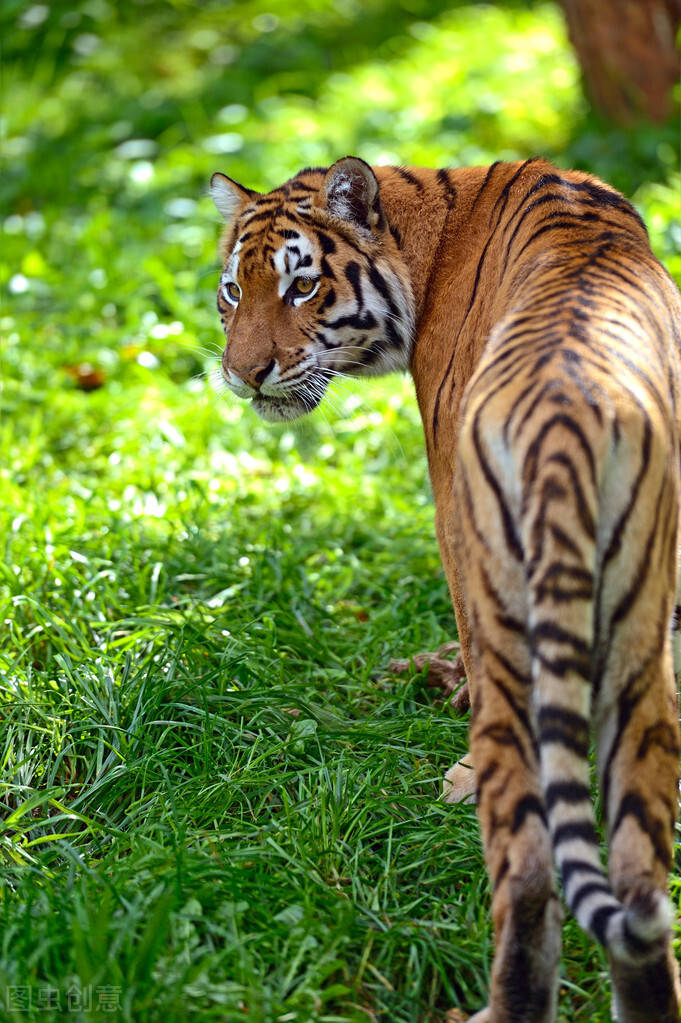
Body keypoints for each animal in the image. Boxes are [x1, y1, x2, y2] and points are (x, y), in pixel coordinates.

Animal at [208, 153, 678, 1023]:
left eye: (299, 286)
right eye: (232, 290)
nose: (243, 375)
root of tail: (566, 419)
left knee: (526, 867)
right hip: (637, 644)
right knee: (638, 883)